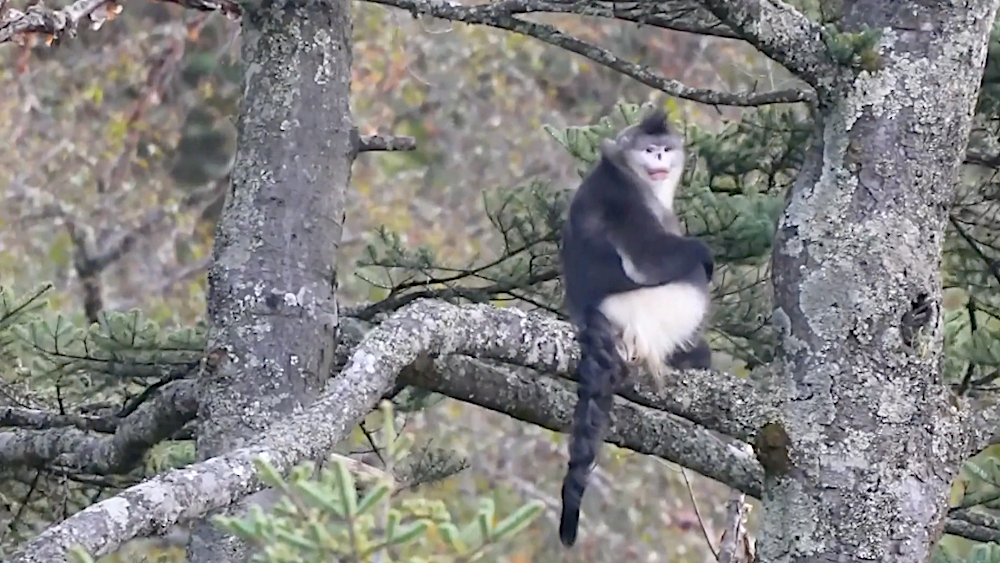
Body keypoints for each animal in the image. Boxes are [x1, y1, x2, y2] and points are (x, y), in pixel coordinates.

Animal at [557, 109, 714, 547]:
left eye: (664, 148)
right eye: (648, 149)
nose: (659, 156)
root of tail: (595, 311)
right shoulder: (625, 202)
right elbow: (649, 258)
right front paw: (705, 253)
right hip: (650, 311)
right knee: (689, 274)